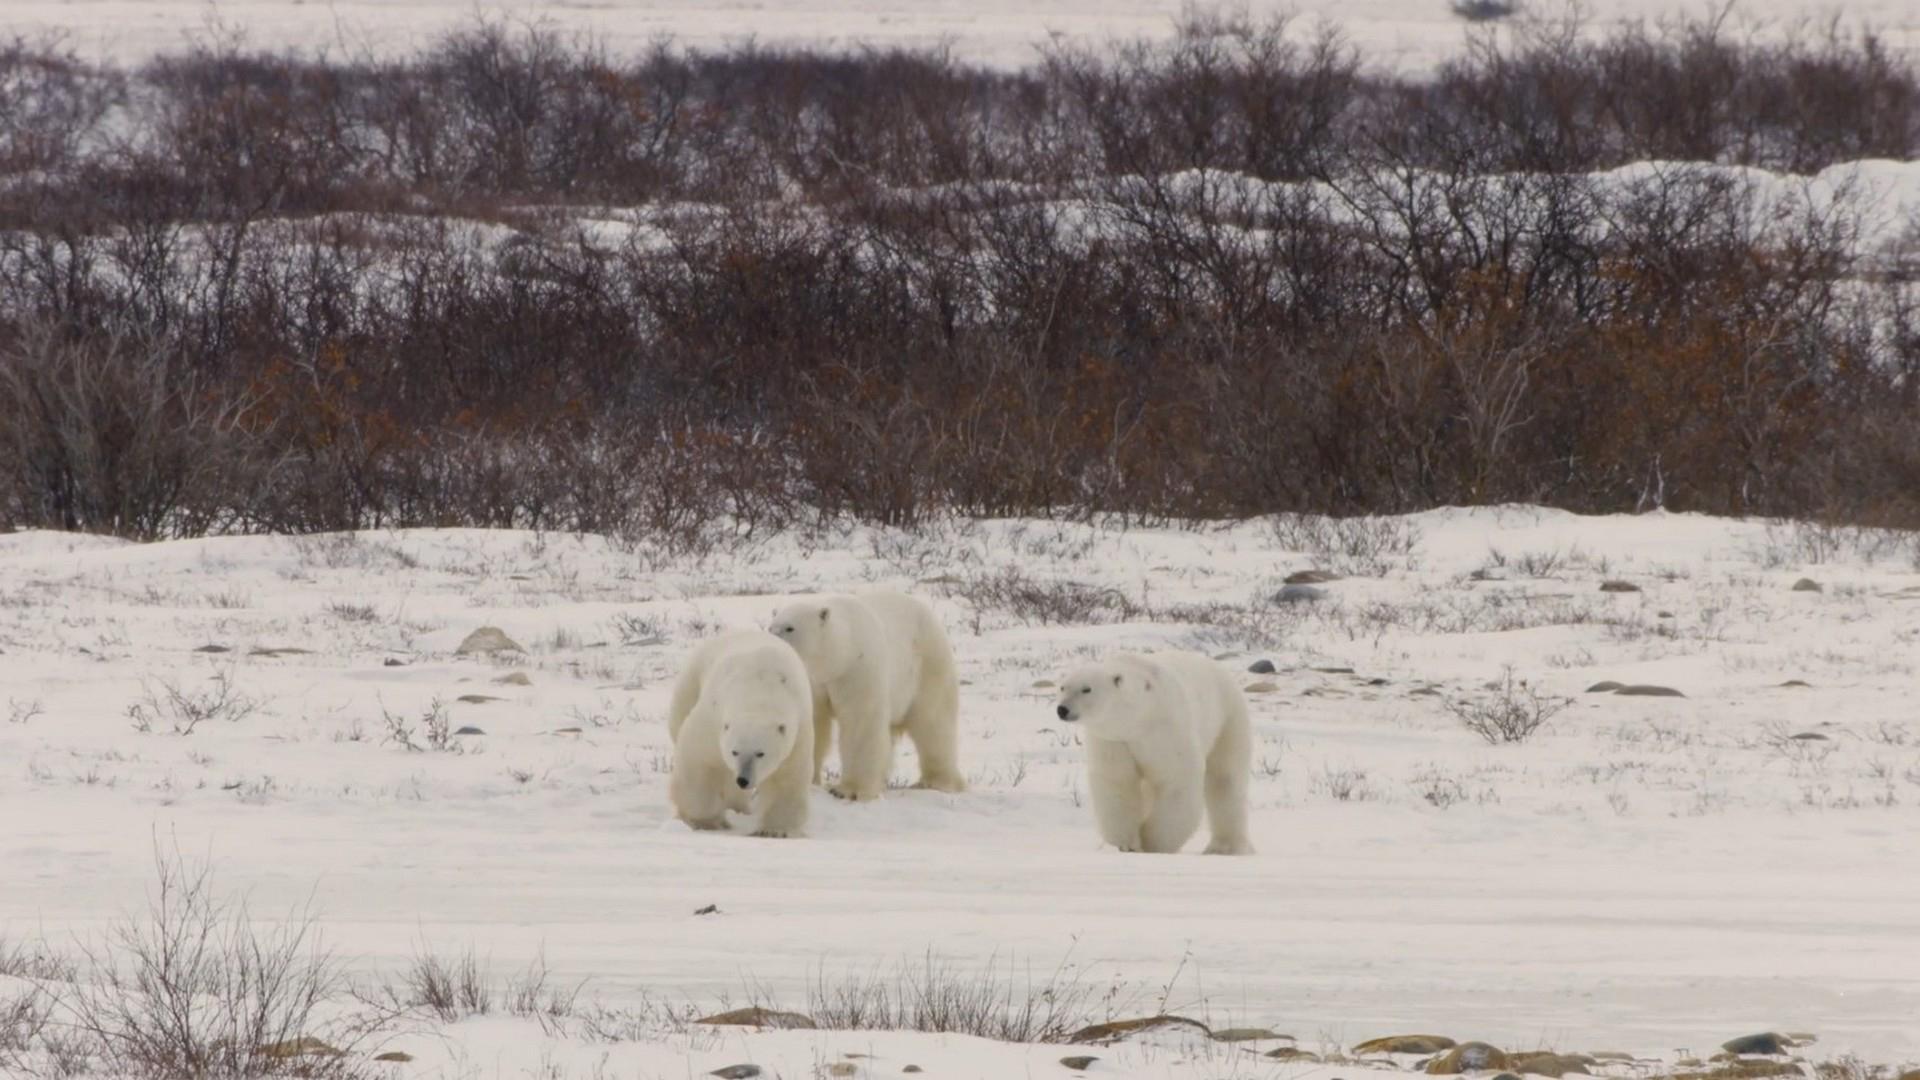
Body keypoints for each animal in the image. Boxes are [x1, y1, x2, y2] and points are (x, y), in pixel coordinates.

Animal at [664, 626, 814, 837]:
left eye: (761, 753)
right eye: (734, 751)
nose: (743, 779)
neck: (759, 691)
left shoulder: (798, 732)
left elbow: (787, 778)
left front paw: (775, 830)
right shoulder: (713, 718)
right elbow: (698, 759)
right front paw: (705, 821)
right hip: (691, 681)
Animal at [768, 588, 967, 799]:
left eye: (790, 628)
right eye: (771, 627)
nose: (772, 639)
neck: (839, 657)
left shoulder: (857, 669)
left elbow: (860, 722)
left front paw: (848, 790)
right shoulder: (812, 682)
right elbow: (813, 723)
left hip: (928, 667)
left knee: (934, 723)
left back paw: (937, 782)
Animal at [1059, 645, 1251, 849]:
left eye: (1086, 689)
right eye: (1062, 687)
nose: (1062, 709)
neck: (1138, 717)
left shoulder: (1164, 730)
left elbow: (1176, 779)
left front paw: (1152, 842)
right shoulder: (1113, 739)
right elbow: (1117, 781)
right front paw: (1125, 843)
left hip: (1227, 721)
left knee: (1225, 780)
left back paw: (1226, 847)